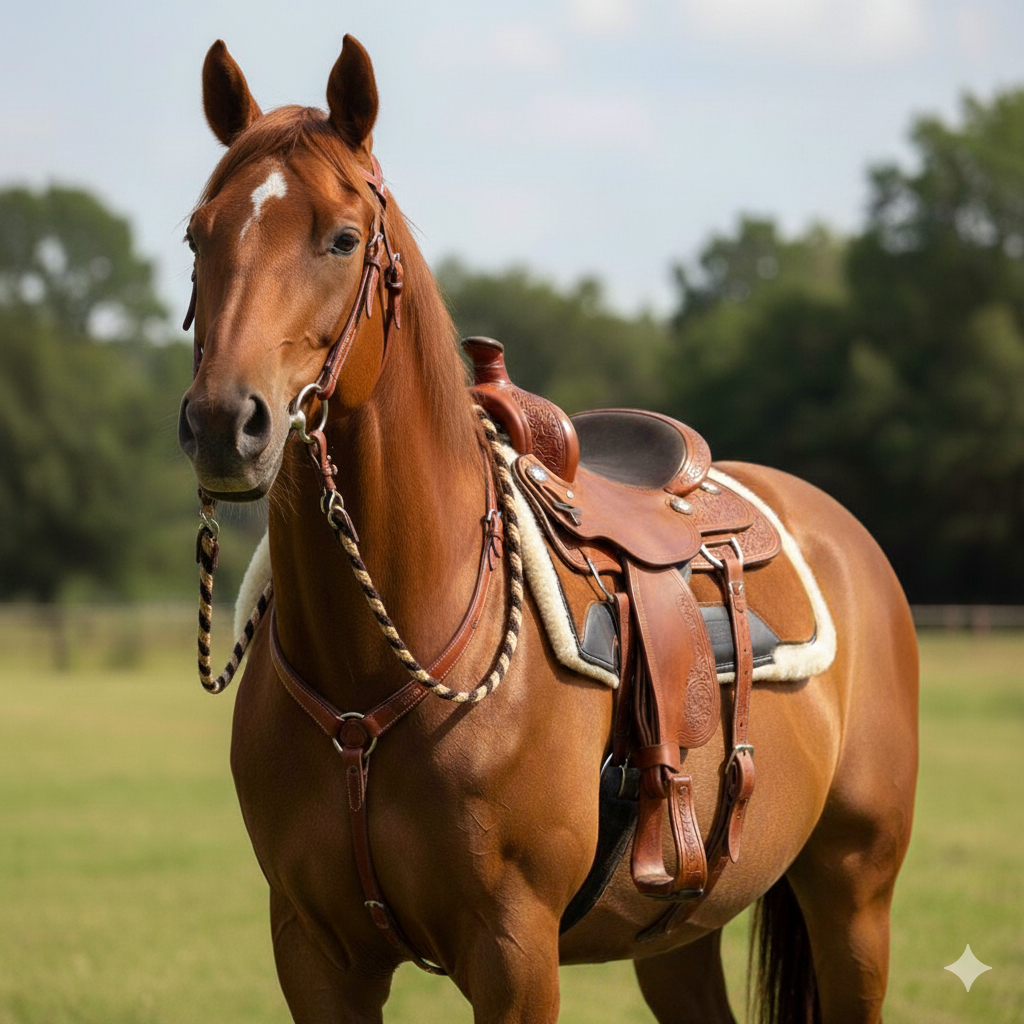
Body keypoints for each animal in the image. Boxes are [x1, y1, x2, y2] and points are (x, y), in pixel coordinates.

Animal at [177, 35, 918, 1024]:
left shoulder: (515, 954)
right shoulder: (315, 952)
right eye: (198, 234)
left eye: (341, 238)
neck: (372, 670)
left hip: (854, 897)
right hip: (677, 930)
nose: (227, 423)